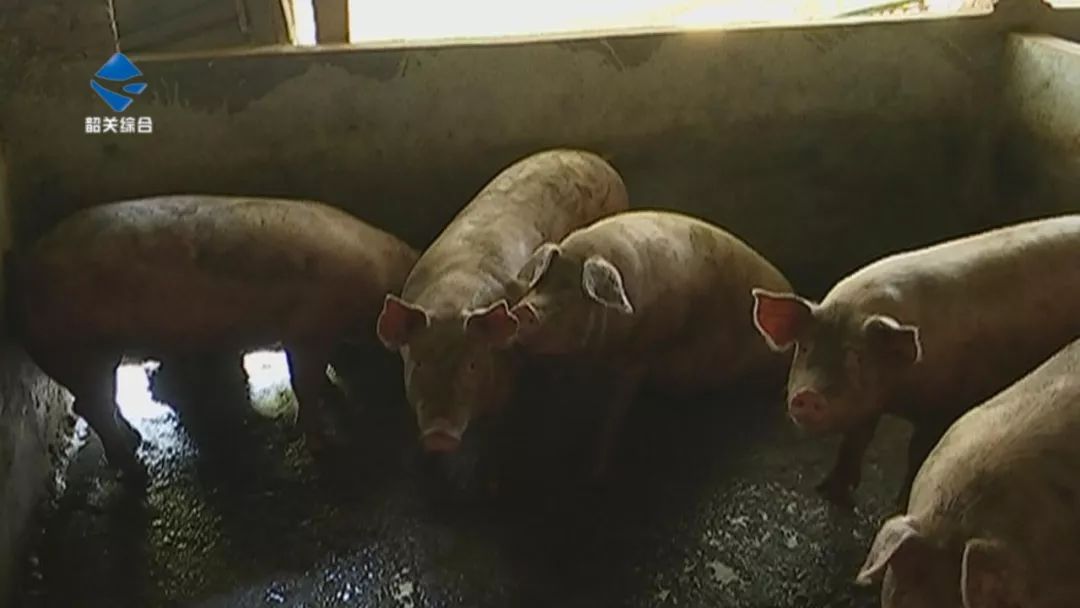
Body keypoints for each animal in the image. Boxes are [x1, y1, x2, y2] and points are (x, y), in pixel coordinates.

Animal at [7, 195, 419, 484]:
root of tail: (23, 275)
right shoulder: (306, 329)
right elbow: (304, 381)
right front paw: (325, 446)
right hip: (83, 349)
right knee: (93, 406)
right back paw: (137, 472)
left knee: (91, 404)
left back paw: (136, 441)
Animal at [486, 210, 792, 474]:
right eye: (541, 283)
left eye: (570, 293)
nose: (524, 309)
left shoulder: (638, 357)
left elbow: (613, 413)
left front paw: (597, 471)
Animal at [751, 214, 1080, 507]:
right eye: (805, 347)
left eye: (855, 355)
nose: (808, 395)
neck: (898, 394)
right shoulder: (871, 404)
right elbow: (856, 439)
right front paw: (828, 492)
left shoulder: (942, 406)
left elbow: (918, 451)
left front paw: (899, 504)